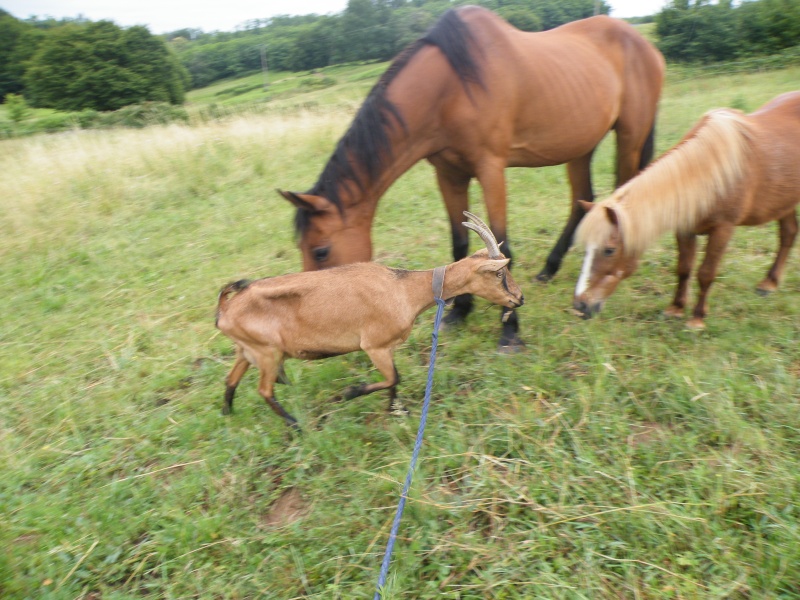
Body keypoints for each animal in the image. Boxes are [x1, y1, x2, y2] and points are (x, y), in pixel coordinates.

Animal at [216, 211, 524, 426]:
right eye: (499, 272)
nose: (519, 298)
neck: (405, 289)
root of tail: (225, 310)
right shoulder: (374, 346)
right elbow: (393, 378)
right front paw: (350, 393)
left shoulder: (386, 348)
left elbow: (394, 381)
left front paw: (397, 412)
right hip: (268, 353)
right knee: (264, 390)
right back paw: (295, 425)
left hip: (247, 350)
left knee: (231, 381)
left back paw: (228, 416)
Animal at [280, 5, 664, 352]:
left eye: (321, 250)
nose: (308, 316)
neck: (450, 87)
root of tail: (645, 46)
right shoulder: (448, 174)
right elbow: (460, 245)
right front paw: (459, 311)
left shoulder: (491, 169)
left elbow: (502, 249)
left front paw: (510, 331)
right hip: (581, 145)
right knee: (582, 199)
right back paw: (549, 269)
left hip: (630, 137)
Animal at [576, 91, 800, 330]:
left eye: (609, 250)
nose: (580, 305)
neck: (709, 174)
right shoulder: (685, 229)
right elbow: (683, 269)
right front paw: (675, 309)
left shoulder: (723, 229)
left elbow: (706, 273)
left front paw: (697, 319)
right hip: (784, 201)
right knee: (788, 233)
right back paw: (769, 283)